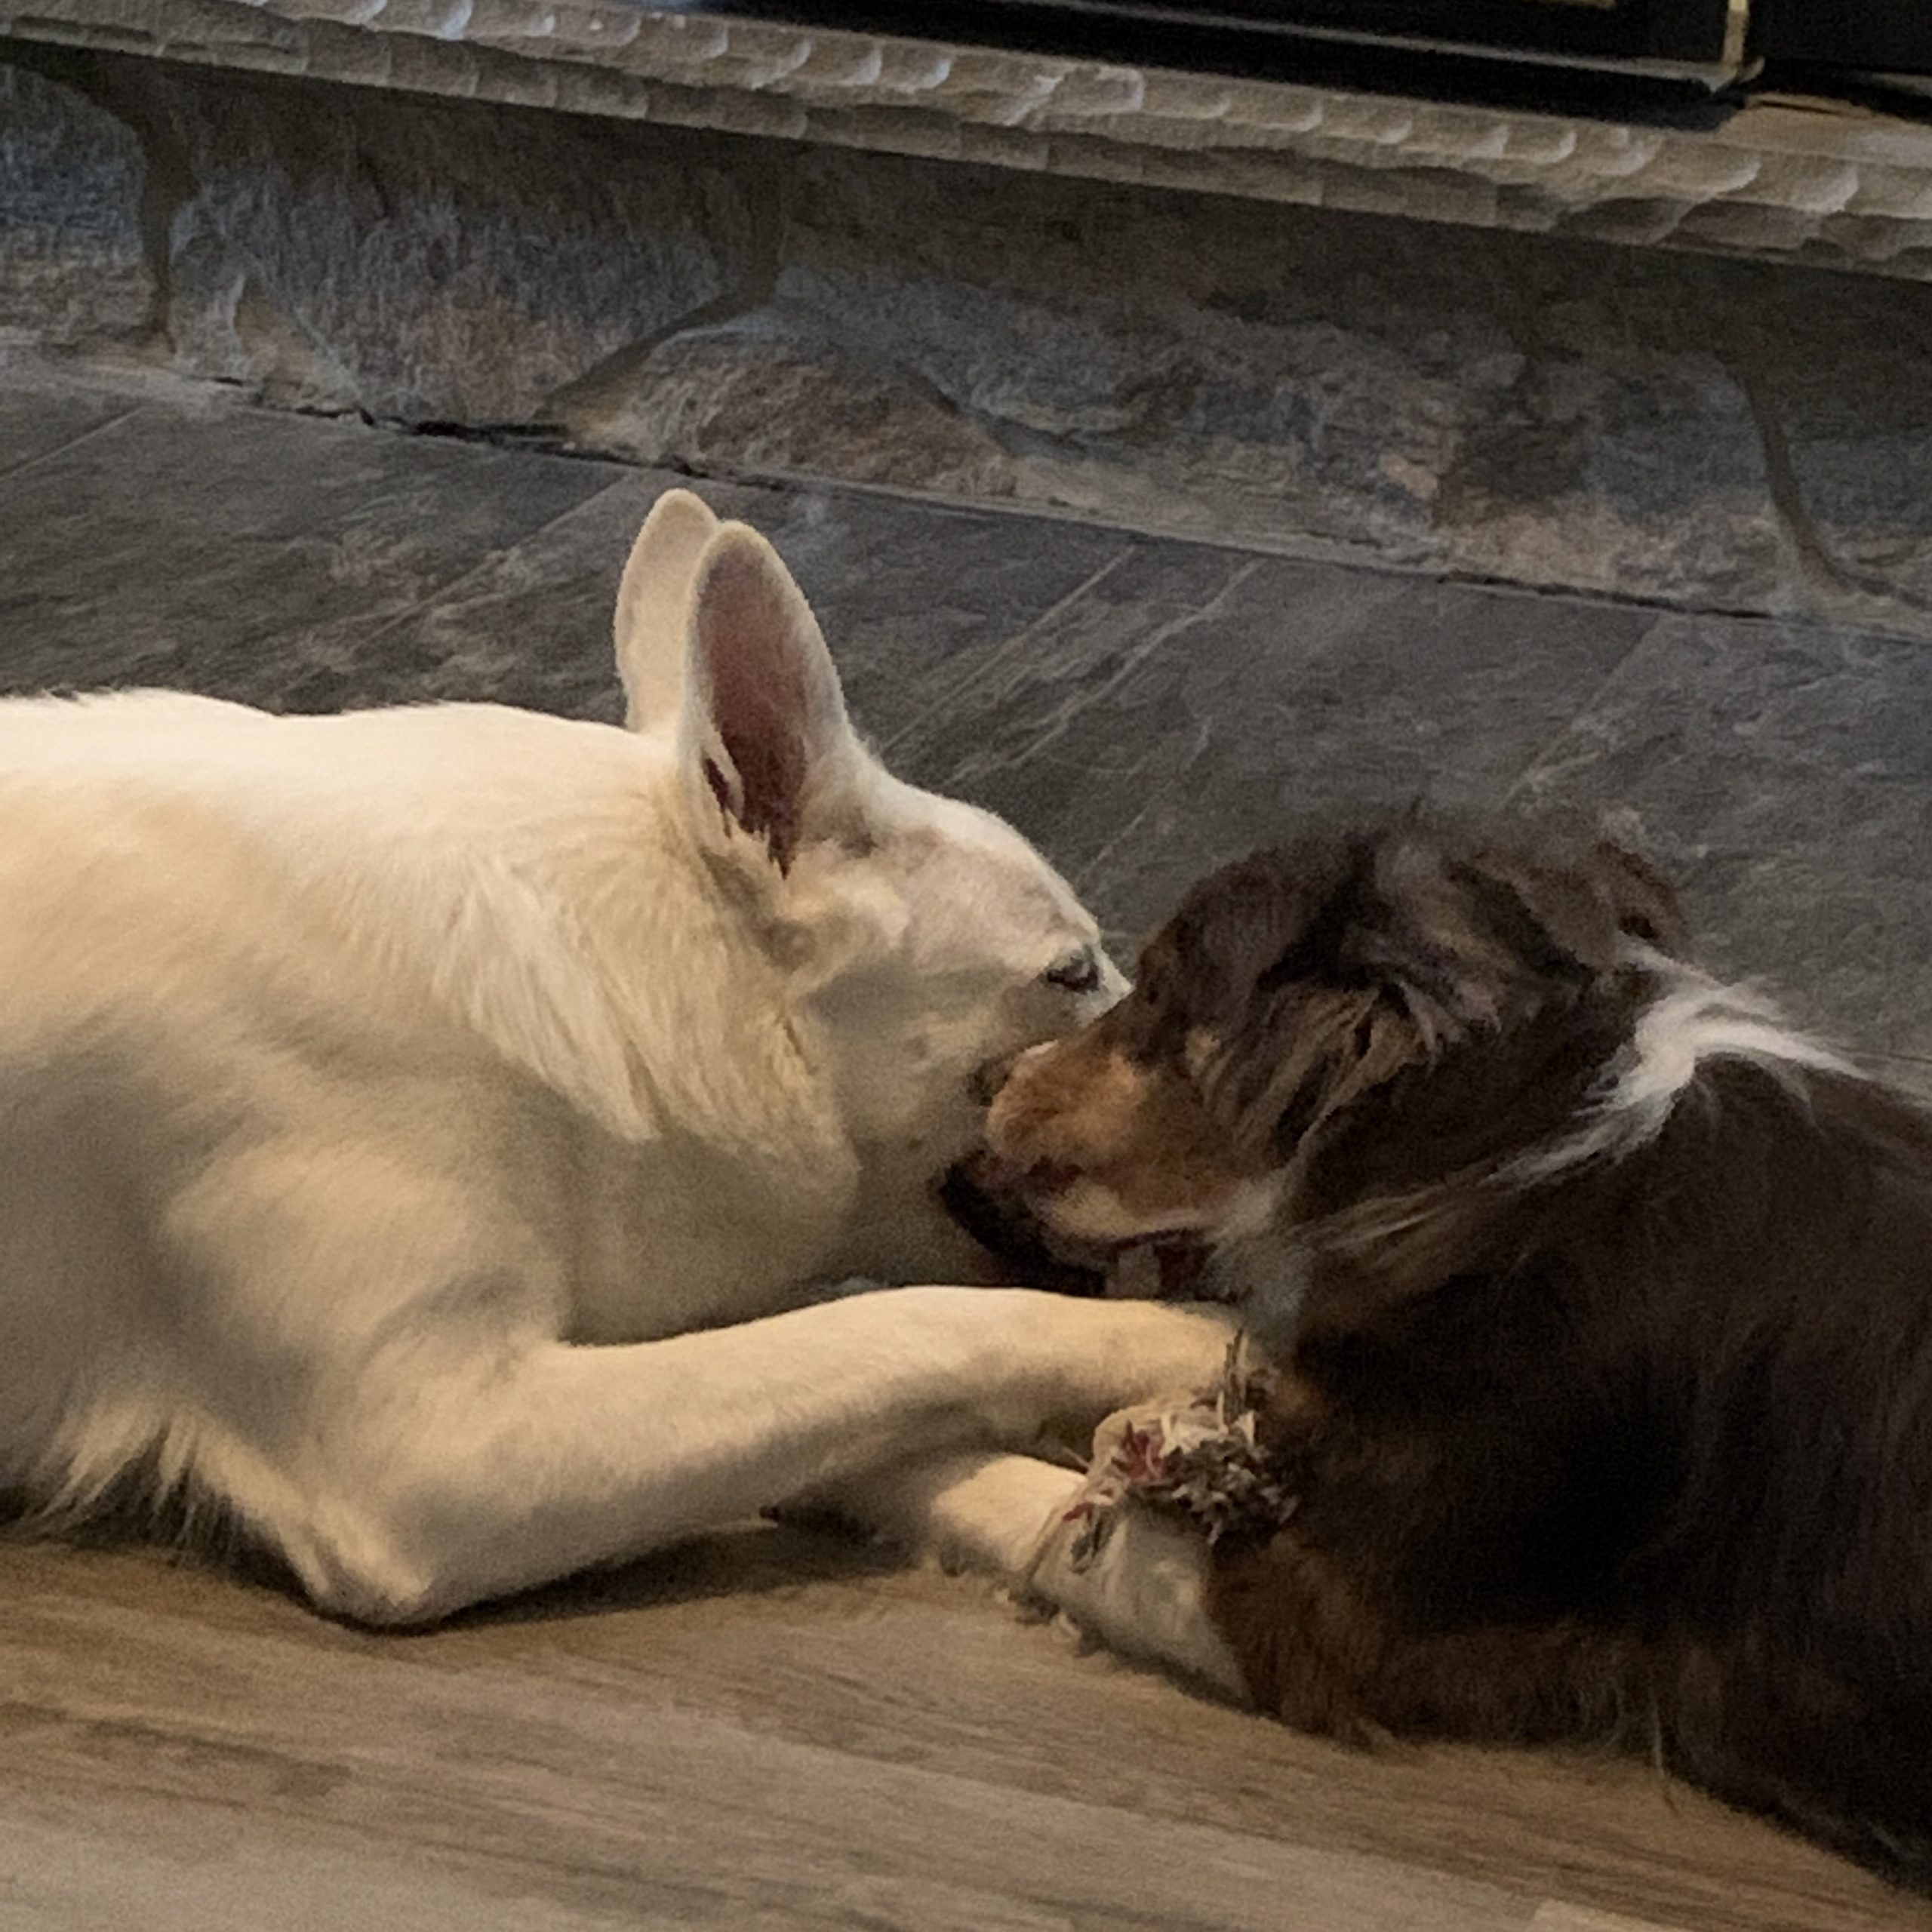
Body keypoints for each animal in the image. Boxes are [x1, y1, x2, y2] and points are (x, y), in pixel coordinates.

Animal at [0, 487, 1239, 1624]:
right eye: (1070, 974)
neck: (607, 965)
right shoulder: (437, 1450)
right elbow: (906, 1325)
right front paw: (1181, 1353)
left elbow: (867, 1398)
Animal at [830, 820, 1932, 1887]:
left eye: (1159, 988)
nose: (991, 1080)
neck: (1517, 1135)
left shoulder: (1332, 1608)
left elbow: (1031, 1507)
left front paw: (872, 1452)